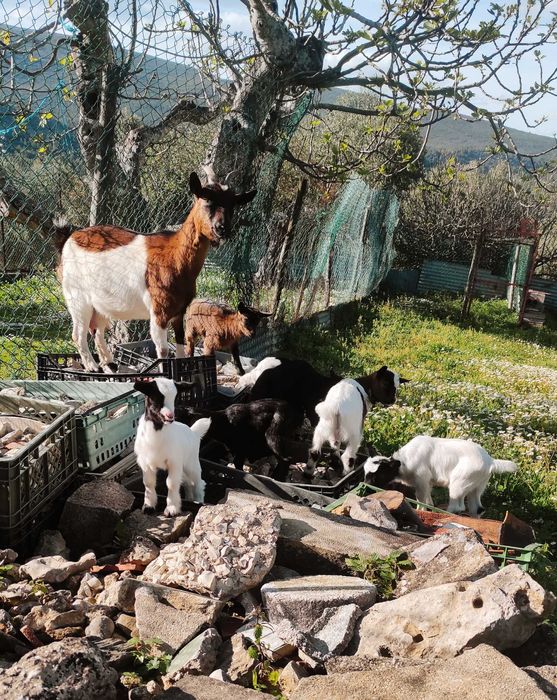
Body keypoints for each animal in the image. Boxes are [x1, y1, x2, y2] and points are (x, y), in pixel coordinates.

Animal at [55, 172, 256, 371]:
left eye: (233, 205)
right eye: (206, 200)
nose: (222, 229)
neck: (175, 257)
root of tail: (69, 238)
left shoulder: (179, 311)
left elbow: (181, 346)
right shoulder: (159, 310)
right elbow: (163, 351)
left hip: (101, 304)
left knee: (97, 331)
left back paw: (110, 364)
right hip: (77, 297)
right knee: (78, 334)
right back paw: (92, 367)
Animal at [133, 378, 211, 515]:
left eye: (175, 398)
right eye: (156, 397)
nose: (170, 416)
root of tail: (193, 432)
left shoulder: (174, 462)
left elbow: (171, 483)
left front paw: (172, 509)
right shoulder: (145, 462)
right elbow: (148, 483)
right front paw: (148, 506)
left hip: (191, 462)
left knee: (198, 482)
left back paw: (199, 501)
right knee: (187, 482)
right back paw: (189, 499)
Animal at [364, 435, 518, 516]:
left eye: (377, 475)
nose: (366, 485)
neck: (404, 462)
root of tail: (491, 461)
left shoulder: (422, 480)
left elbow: (422, 500)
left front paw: (421, 512)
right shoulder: (428, 483)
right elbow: (429, 501)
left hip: (459, 483)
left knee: (457, 507)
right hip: (477, 486)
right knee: (477, 509)